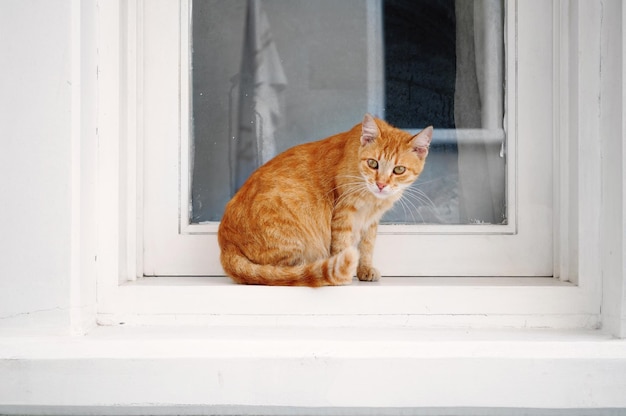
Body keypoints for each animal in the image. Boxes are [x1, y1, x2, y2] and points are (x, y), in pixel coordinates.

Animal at [218, 114, 428, 286]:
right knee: (282, 271)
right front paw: (343, 273)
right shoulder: (344, 213)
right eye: (372, 163)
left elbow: (367, 247)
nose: (381, 184)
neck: (372, 200)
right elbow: (342, 245)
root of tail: (225, 241)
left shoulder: (371, 221)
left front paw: (365, 269)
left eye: (399, 169)